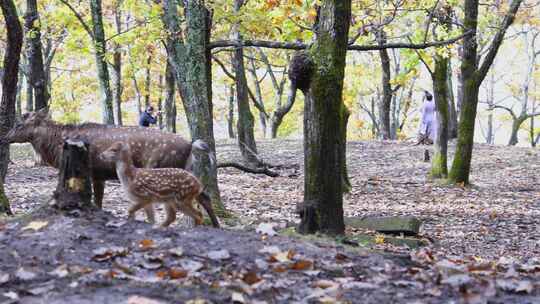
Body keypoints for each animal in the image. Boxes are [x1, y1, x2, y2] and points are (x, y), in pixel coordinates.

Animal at [0, 108, 215, 222]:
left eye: (19, 124)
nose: (5, 137)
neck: (57, 145)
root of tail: (191, 144)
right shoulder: (100, 175)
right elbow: (99, 201)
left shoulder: (94, 171)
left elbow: (97, 201)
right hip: (187, 169)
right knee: (204, 194)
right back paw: (214, 225)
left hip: (162, 167)